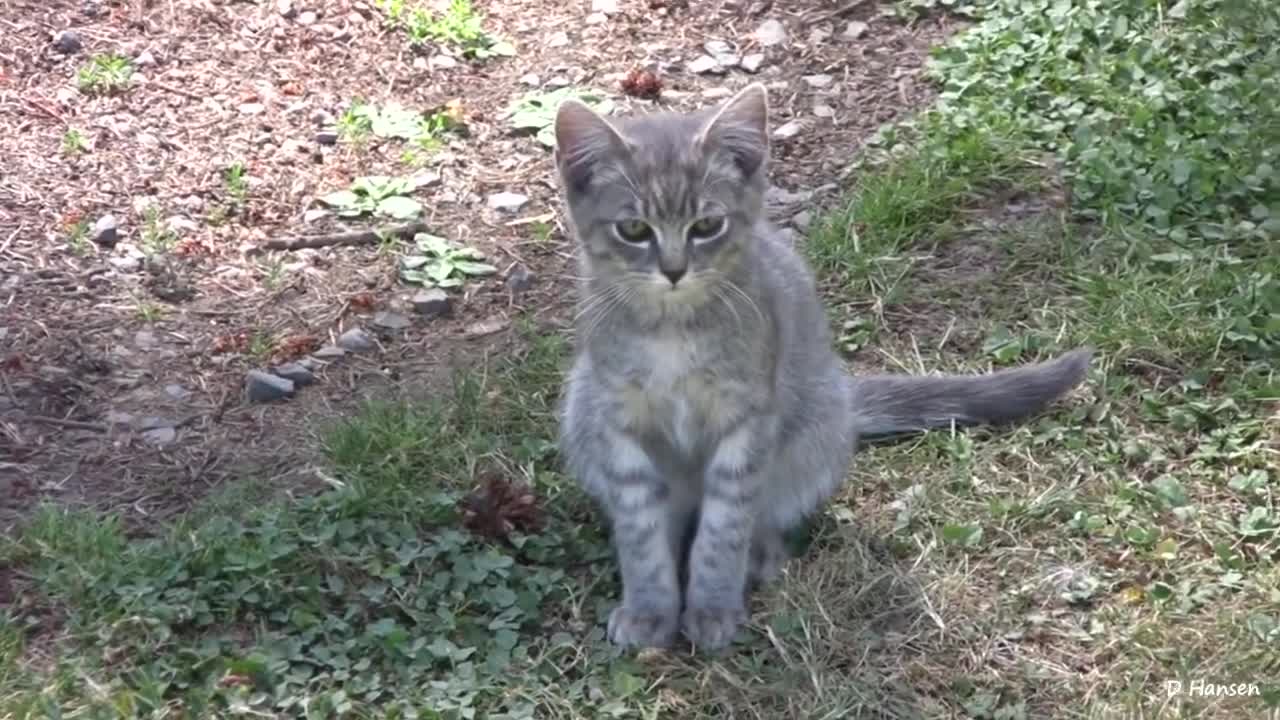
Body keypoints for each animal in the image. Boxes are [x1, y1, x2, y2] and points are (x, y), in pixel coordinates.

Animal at [550, 83, 1090, 650]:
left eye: (707, 226)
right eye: (634, 229)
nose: (674, 270)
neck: (672, 332)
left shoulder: (747, 423)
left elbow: (724, 528)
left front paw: (712, 605)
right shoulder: (617, 423)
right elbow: (641, 531)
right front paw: (650, 609)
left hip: (812, 434)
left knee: (766, 515)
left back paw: (759, 557)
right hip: (580, 410)